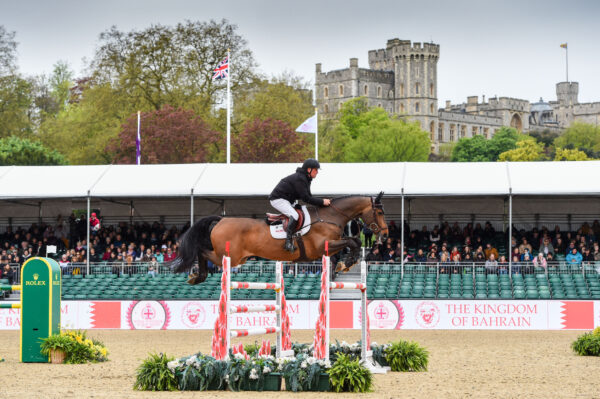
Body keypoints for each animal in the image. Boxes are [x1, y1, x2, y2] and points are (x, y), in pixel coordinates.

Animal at [172, 193, 390, 284]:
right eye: (379, 212)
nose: (386, 234)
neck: (329, 216)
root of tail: (221, 220)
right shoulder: (322, 247)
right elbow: (353, 242)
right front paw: (346, 263)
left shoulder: (328, 248)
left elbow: (355, 242)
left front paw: (343, 264)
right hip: (229, 257)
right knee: (202, 251)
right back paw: (196, 276)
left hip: (236, 258)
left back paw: (197, 276)